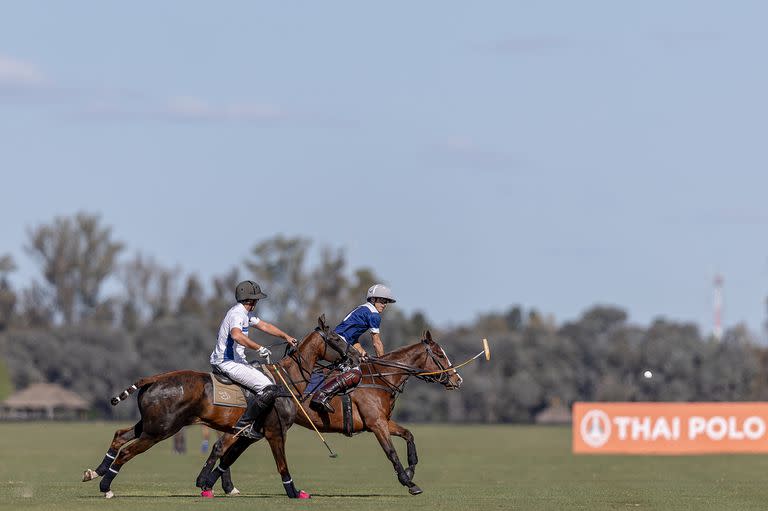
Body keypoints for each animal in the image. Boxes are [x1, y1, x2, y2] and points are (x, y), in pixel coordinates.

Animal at [79, 318, 356, 498]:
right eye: (335, 339)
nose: (355, 357)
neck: (287, 379)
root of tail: (153, 379)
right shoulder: (275, 432)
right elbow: (280, 463)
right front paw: (294, 491)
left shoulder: (249, 434)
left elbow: (226, 455)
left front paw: (206, 483)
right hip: (161, 430)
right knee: (127, 451)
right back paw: (106, 487)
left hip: (150, 424)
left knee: (119, 435)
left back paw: (95, 472)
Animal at [198, 330, 462, 498]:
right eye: (440, 354)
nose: (457, 379)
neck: (380, 378)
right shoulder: (376, 423)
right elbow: (391, 452)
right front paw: (409, 482)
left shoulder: (383, 420)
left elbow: (409, 435)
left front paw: (410, 470)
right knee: (223, 445)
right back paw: (213, 484)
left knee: (231, 445)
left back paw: (222, 485)